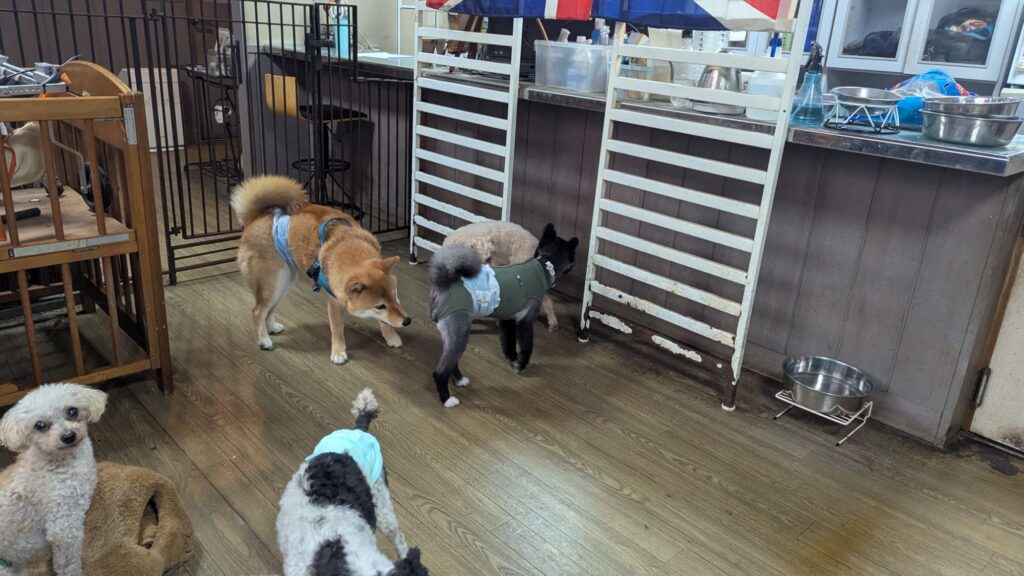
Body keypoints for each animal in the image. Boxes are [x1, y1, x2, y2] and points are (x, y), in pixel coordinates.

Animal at [232, 175, 411, 364]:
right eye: (380, 306)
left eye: (395, 295)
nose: (407, 321)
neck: (347, 246)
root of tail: (255, 218)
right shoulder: (334, 302)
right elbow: (337, 329)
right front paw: (339, 352)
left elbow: (385, 322)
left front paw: (391, 337)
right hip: (273, 284)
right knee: (258, 310)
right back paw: (264, 340)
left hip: (284, 283)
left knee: (269, 309)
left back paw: (272, 327)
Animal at [428, 223, 578, 407]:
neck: (543, 264)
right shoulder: (524, 321)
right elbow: (527, 347)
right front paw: (521, 364)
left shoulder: (508, 319)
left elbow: (509, 342)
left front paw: (512, 358)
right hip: (459, 334)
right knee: (441, 370)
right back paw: (447, 399)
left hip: (453, 337)